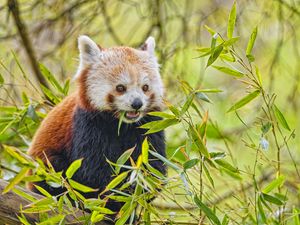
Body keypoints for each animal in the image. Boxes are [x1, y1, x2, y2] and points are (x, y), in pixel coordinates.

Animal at [27, 36, 166, 216]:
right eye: (120, 88)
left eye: (145, 87)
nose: (137, 104)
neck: (121, 125)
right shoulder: (88, 125)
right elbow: (92, 173)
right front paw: (115, 199)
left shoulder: (150, 125)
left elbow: (153, 169)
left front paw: (133, 192)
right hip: (44, 167)